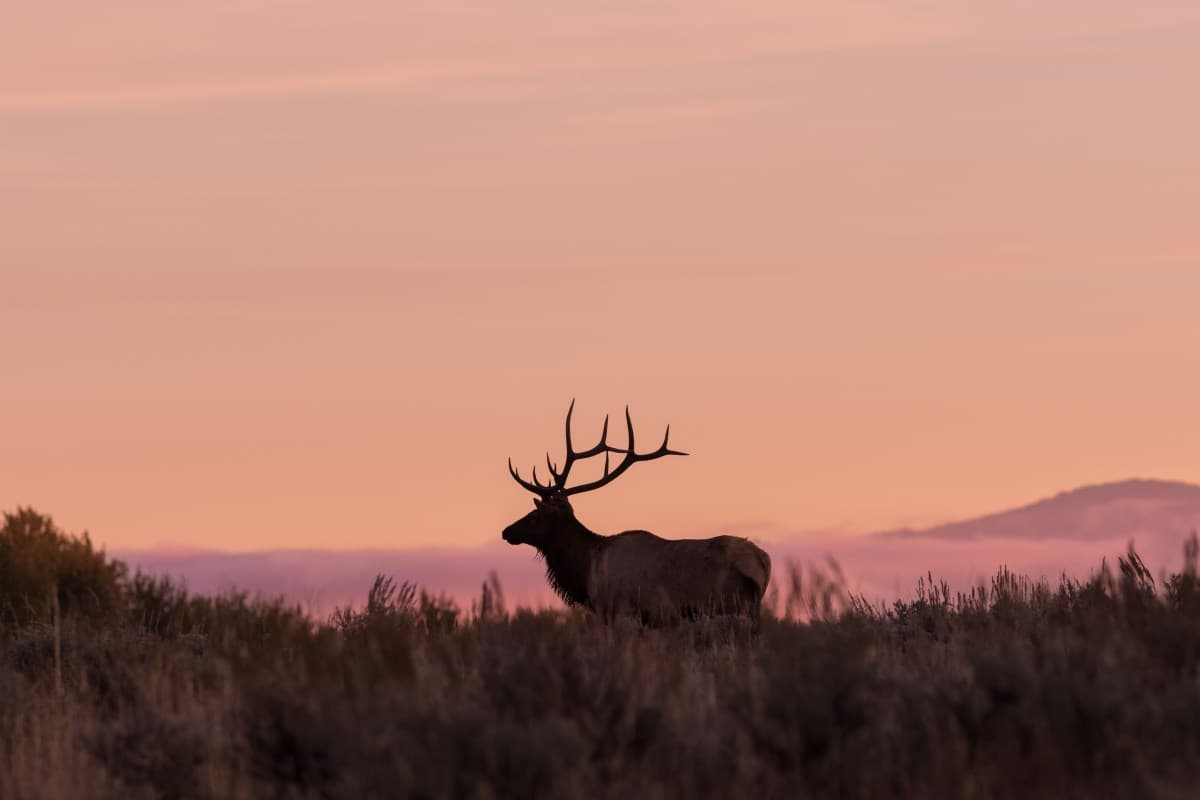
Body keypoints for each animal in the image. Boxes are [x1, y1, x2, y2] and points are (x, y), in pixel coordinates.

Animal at [502, 402, 771, 624]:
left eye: (535, 516)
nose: (506, 531)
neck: (586, 570)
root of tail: (763, 561)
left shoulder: (619, 611)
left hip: (731, 605)